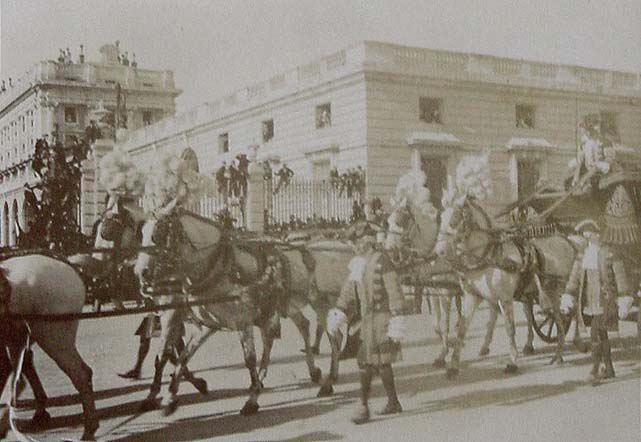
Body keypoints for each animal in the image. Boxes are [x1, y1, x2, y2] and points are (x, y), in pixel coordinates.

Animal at [135, 206, 324, 414]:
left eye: (159, 233)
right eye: (141, 232)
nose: (140, 272)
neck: (216, 266)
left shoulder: (242, 321)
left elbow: (249, 359)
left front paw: (252, 400)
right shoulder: (200, 324)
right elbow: (177, 355)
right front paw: (168, 396)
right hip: (282, 307)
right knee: (300, 326)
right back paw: (310, 370)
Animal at [432, 195, 572, 378]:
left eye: (455, 219)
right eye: (440, 218)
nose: (439, 251)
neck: (488, 255)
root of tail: (564, 239)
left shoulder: (505, 298)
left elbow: (509, 328)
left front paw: (512, 362)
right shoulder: (472, 296)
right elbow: (461, 329)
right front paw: (453, 366)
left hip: (555, 292)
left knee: (561, 319)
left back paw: (561, 352)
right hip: (530, 293)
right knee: (531, 315)